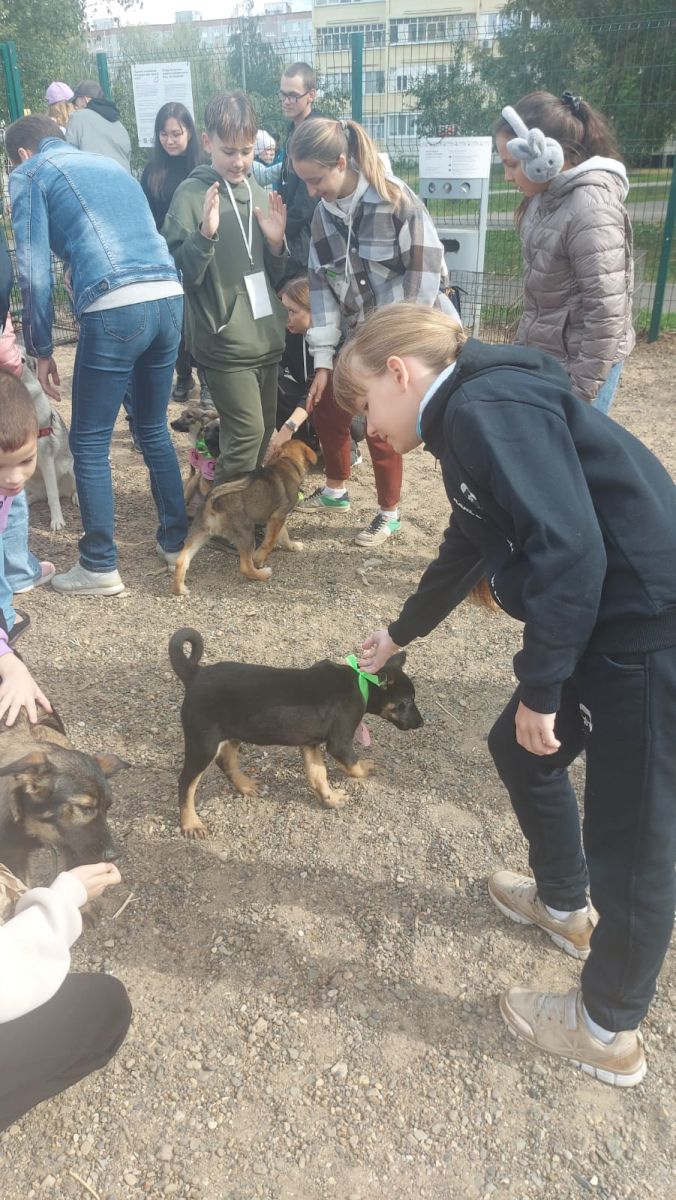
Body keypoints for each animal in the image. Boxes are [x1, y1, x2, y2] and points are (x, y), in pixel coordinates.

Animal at [22, 361, 77, 531]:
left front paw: (57, 520)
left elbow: (52, 497)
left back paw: (76, 497)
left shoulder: (46, 459)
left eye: (22, 360)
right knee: (39, 495)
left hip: (72, 467)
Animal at [168, 627, 423, 838]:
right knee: (186, 782)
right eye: (407, 702)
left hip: (231, 733)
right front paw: (364, 769)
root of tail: (195, 674)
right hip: (203, 741)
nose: (422, 723)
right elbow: (353, 766)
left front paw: (330, 799)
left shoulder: (310, 743)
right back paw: (191, 823)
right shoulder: (339, 742)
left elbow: (318, 774)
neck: (362, 682)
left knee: (225, 760)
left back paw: (246, 785)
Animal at [171, 439, 317, 594]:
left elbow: (284, 535)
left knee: (181, 560)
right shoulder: (278, 517)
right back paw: (263, 574)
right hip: (246, 533)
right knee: (245, 567)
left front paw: (292, 546)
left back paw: (180, 589)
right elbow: (270, 541)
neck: (287, 461)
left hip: (201, 533)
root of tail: (213, 500)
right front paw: (259, 558)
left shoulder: (277, 518)